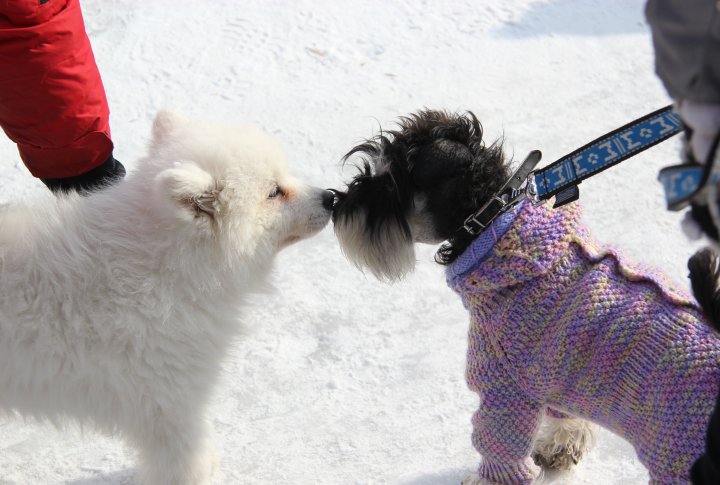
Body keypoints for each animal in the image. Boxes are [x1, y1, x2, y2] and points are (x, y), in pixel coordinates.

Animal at [0, 111, 334, 482]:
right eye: (274, 192)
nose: (331, 197)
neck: (163, 266)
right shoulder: (167, 400)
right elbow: (184, 459)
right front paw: (202, 471)